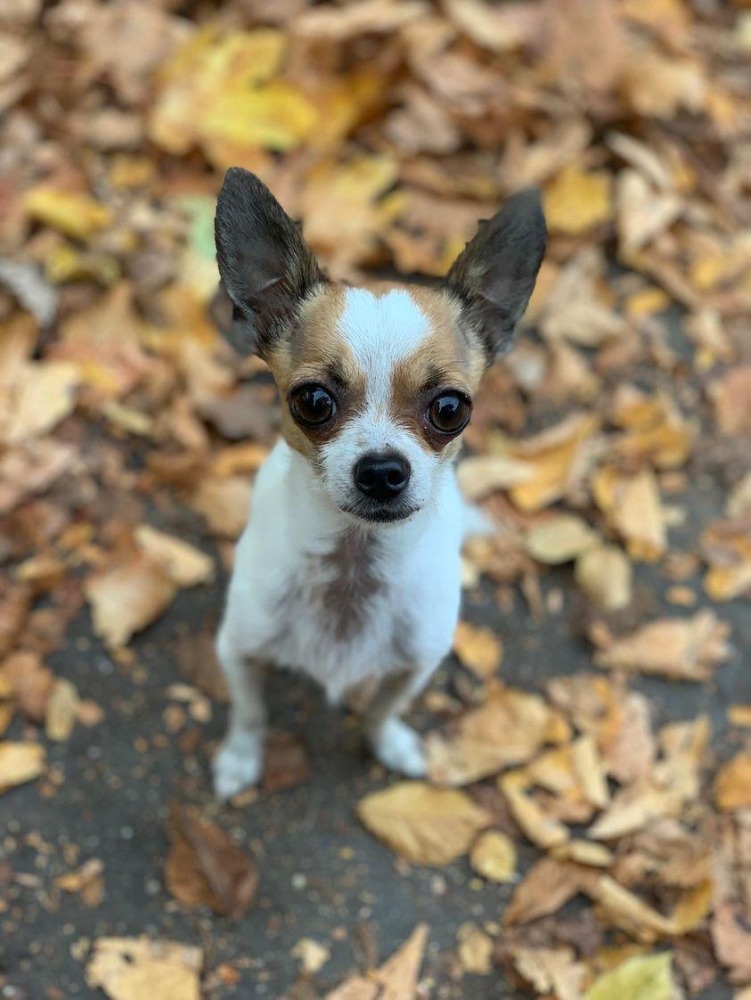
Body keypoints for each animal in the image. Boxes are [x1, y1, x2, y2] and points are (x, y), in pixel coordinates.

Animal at [211, 168, 546, 799]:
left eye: (450, 409)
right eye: (313, 401)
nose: (383, 470)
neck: (353, 567)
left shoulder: (416, 664)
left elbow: (382, 708)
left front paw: (388, 743)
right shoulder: (239, 651)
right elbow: (248, 712)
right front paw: (241, 759)